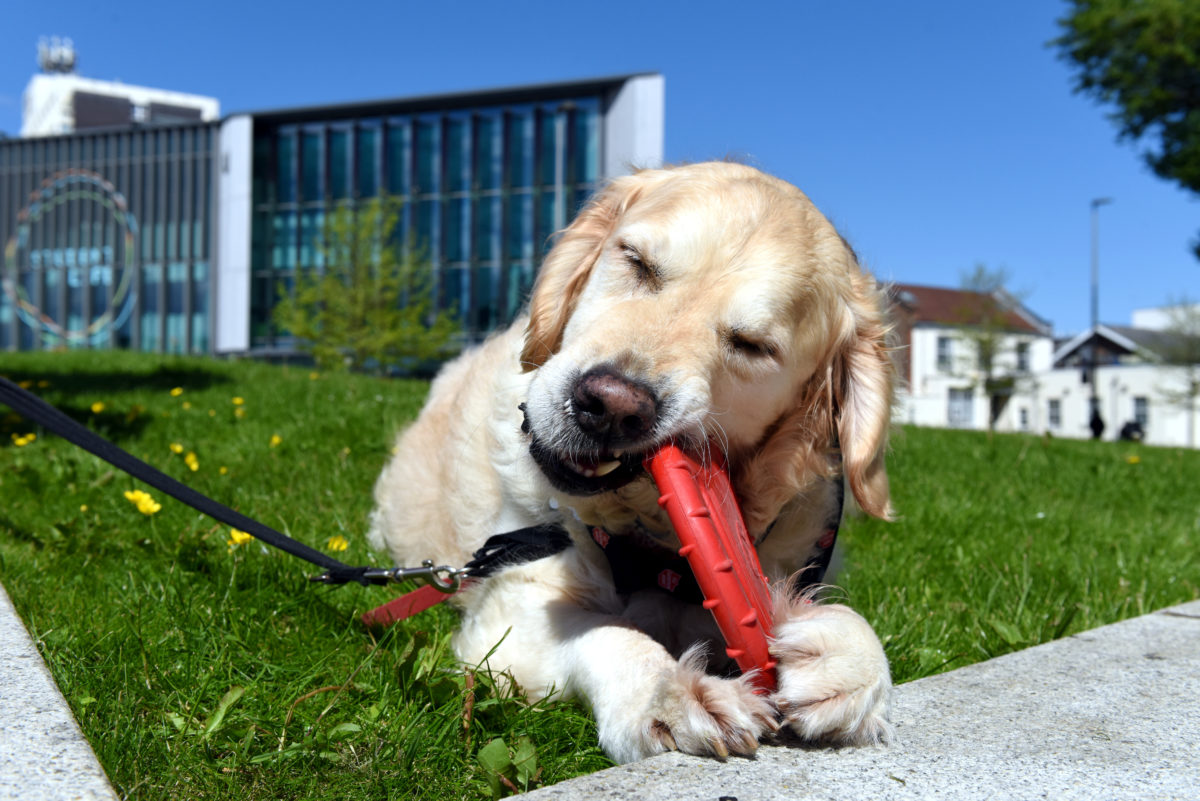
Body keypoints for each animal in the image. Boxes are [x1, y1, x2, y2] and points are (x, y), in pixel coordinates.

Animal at [364, 160, 892, 762]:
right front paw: (672, 692)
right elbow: (607, 633)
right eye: (637, 262)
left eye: (753, 345)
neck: (651, 547)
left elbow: (850, 623)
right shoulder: (511, 613)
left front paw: (846, 661)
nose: (611, 406)